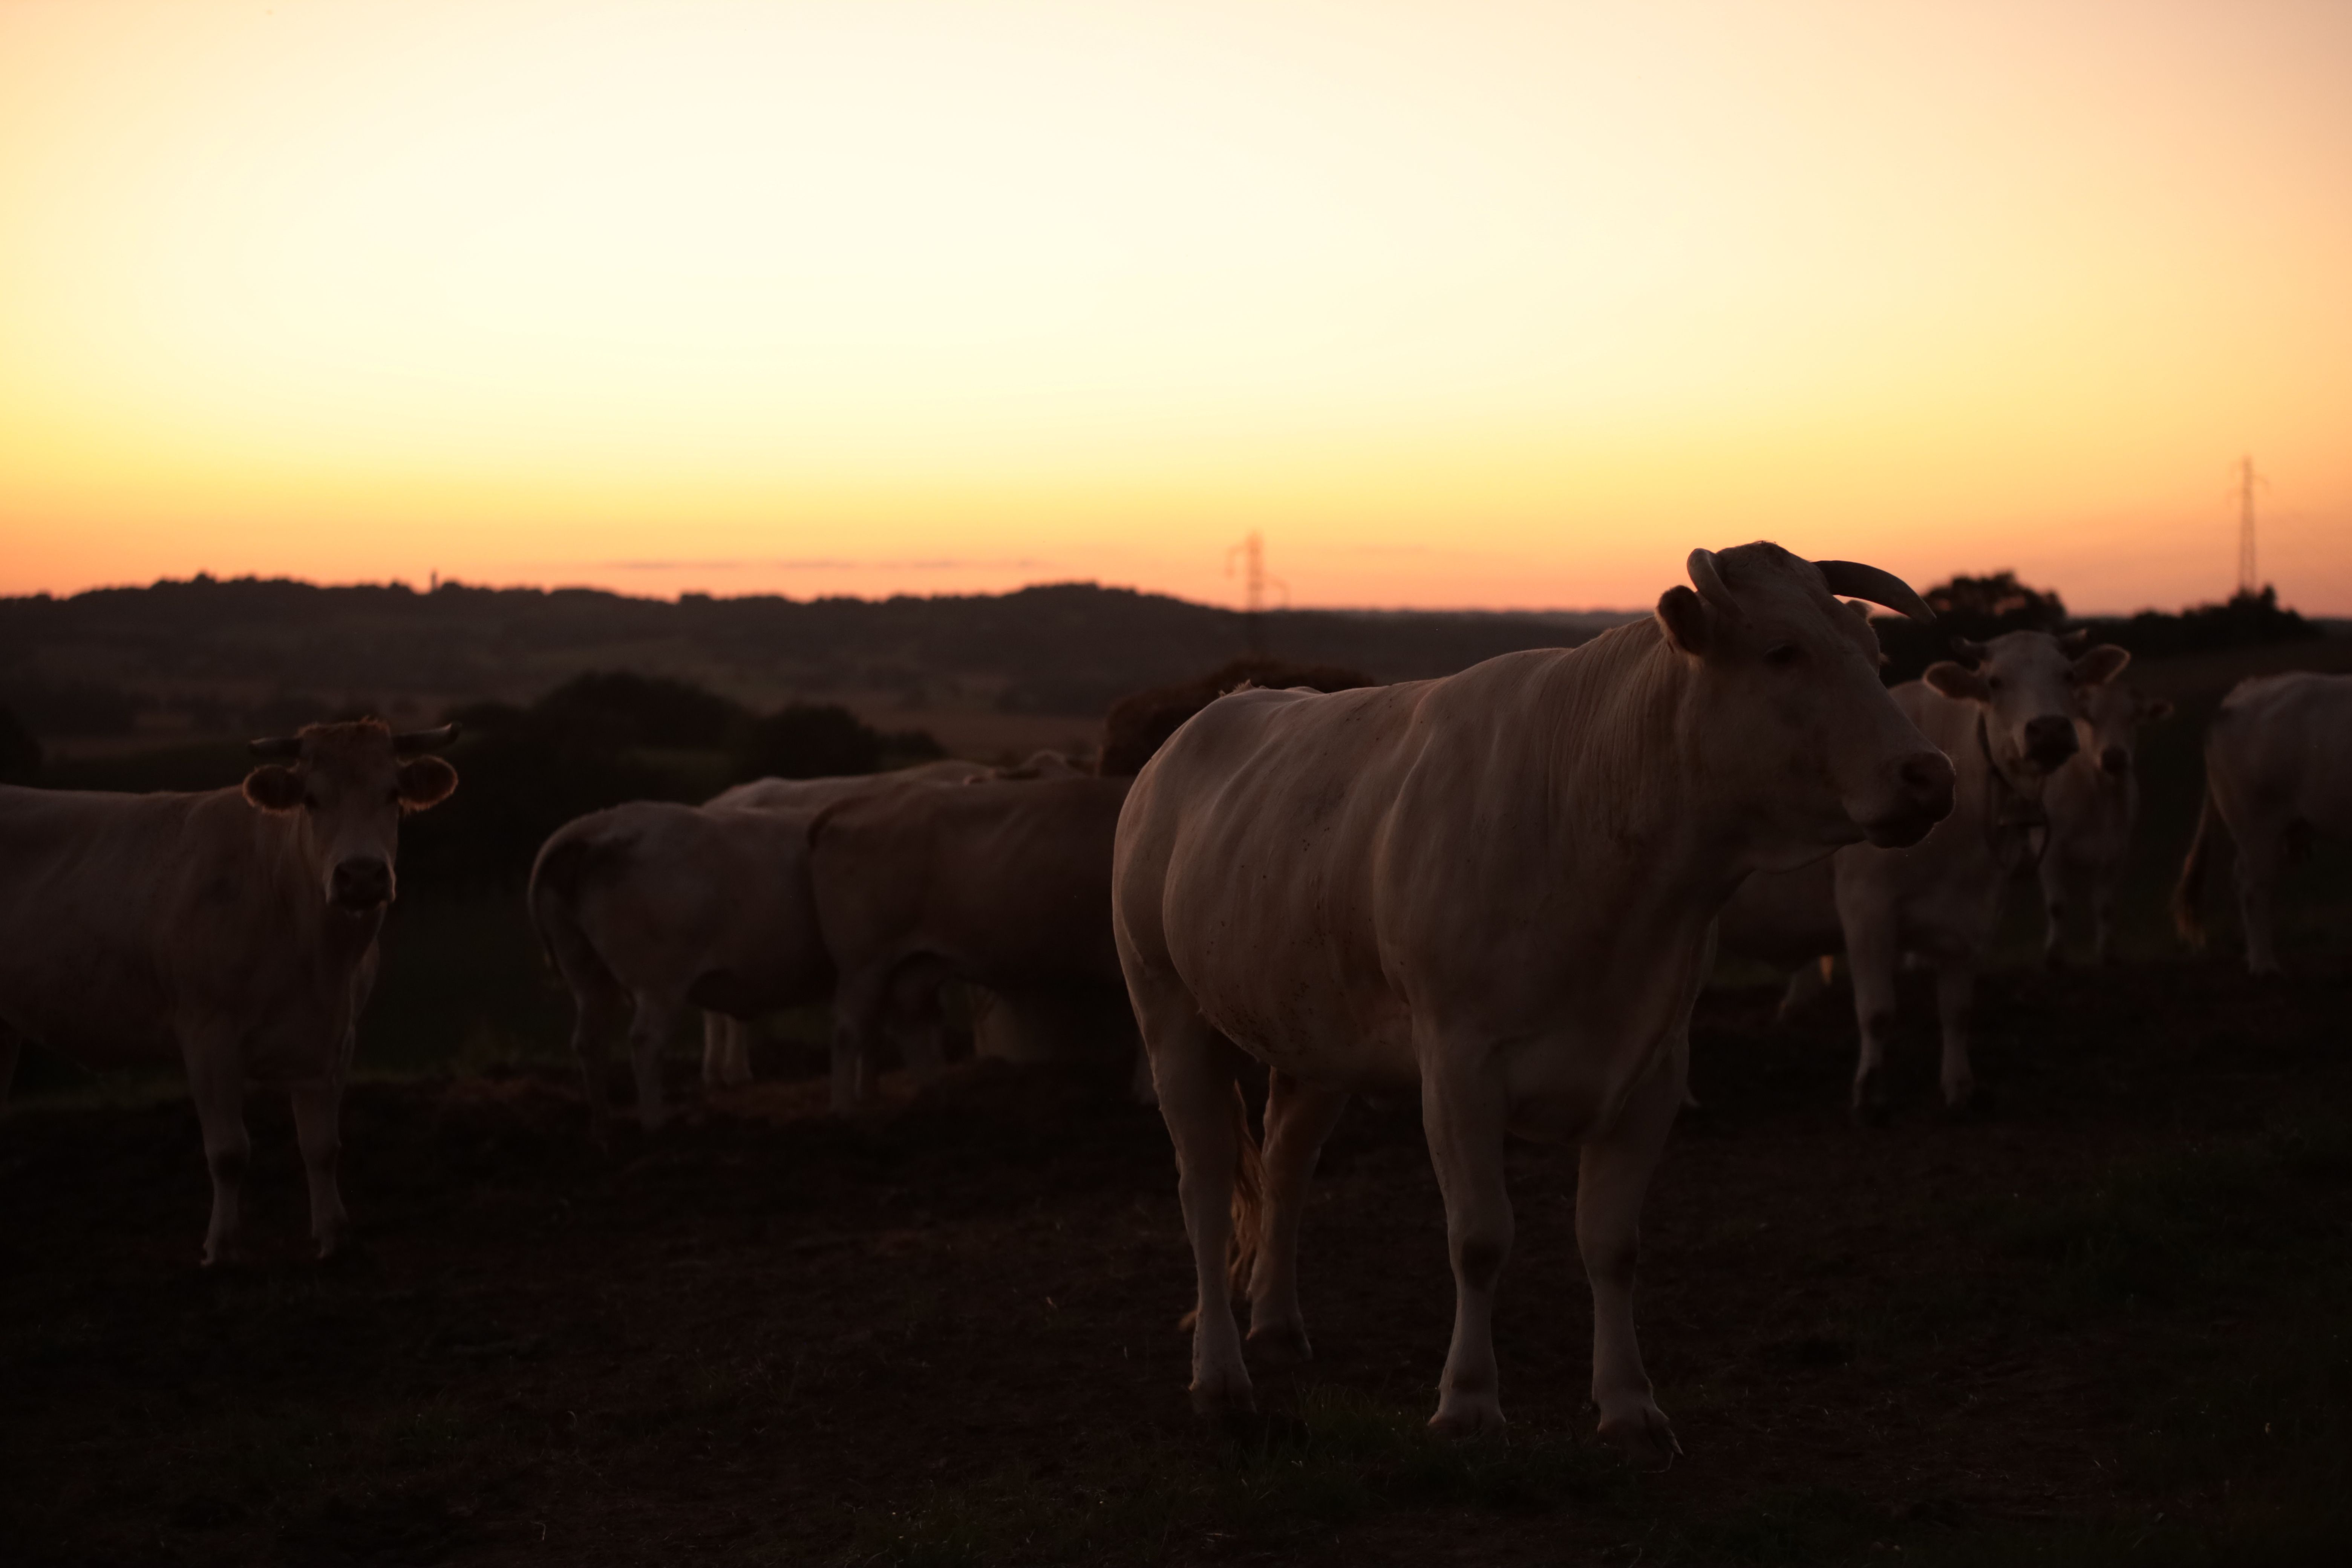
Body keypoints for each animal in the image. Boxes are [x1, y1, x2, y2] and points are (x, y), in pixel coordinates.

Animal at [0, 720, 458, 1264]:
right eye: (311, 799)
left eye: (392, 794)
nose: (362, 875)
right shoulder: (208, 1034)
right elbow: (229, 1151)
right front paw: (222, 1246)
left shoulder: (335, 1039)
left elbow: (322, 1147)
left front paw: (334, 1236)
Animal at [811, 773, 1135, 1112]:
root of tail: (863, 801)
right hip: (863, 962)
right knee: (849, 1029)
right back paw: (845, 1110)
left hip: (913, 964)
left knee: (908, 1022)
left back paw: (937, 1096)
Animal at [1112, 543, 1953, 1460]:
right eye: (1782, 652)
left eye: (1873, 656)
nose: (1930, 774)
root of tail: (1210, 717)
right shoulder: (1459, 1066)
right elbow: (1481, 1239)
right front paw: (1470, 1403)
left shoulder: (1653, 1067)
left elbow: (1612, 1243)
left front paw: (1628, 1404)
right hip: (1169, 1013)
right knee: (1202, 1189)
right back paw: (1222, 1377)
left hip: (1313, 1031)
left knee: (1288, 1162)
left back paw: (1275, 1324)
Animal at [1719, 629, 2130, 1115]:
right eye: (1995, 682)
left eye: (2068, 675)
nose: (2048, 729)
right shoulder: (1867, 910)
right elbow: (1877, 1011)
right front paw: (1869, 1091)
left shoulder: (1973, 917)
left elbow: (1957, 1010)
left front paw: (1959, 1086)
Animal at [2038, 678, 2172, 965]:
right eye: (2091, 717)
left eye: (2134, 716)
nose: (2114, 757)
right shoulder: (2049, 849)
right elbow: (2057, 904)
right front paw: (2055, 954)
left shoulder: (2116, 850)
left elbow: (2105, 905)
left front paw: (2108, 952)